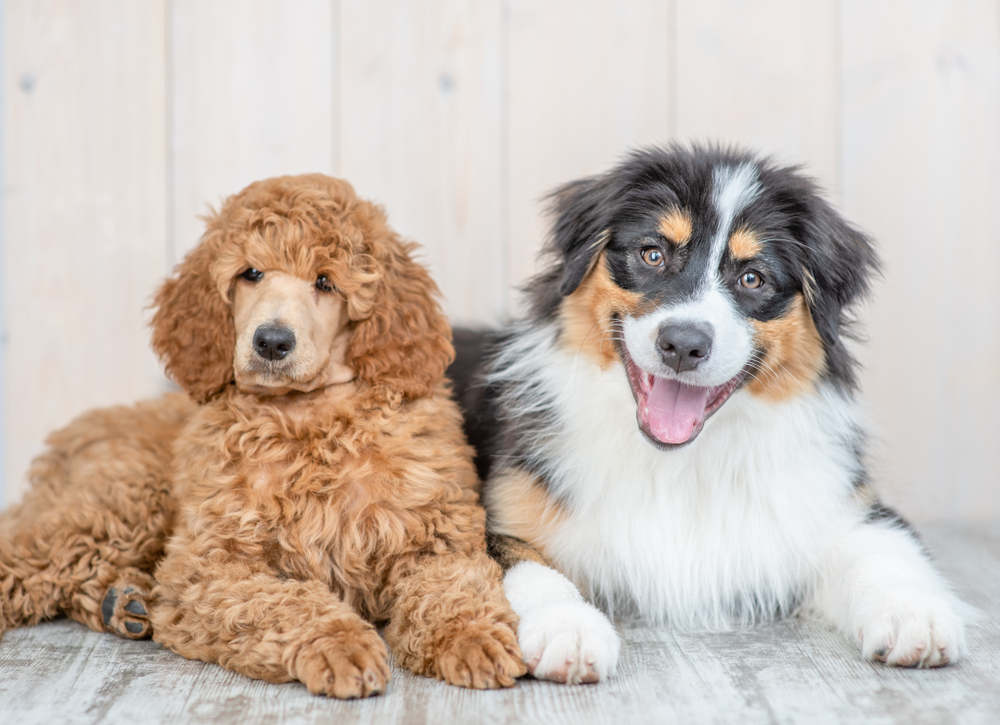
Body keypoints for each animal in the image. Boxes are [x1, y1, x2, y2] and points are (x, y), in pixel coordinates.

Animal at [0, 171, 528, 696]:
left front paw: (472, 636)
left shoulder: (435, 537)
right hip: (121, 500)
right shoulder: (209, 563)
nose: (272, 341)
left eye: (325, 282)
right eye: (250, 274)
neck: (307, 418)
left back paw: (124, 601)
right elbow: (284, 602)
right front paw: (339, 643)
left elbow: (451, 587)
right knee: (31, 550)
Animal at [452, 144, 968, 680]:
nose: (683, 344)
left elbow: (883, 549)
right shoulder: (486, 504)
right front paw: (567, 628)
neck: (680, 464)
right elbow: (519, 561)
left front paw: (914, 616)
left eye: (752, 278)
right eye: (652, 254)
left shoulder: (837, 502)